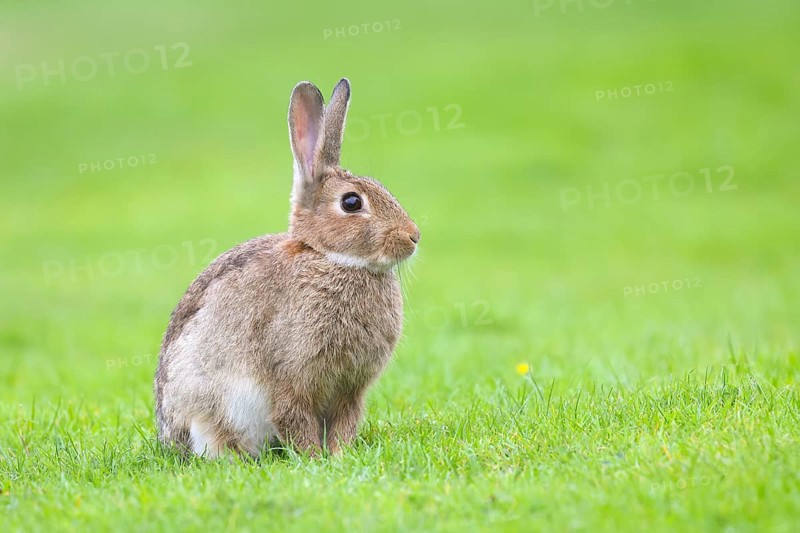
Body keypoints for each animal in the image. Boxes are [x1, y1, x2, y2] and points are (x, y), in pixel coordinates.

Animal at [154, 78, 420, 458]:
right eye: (352, 202)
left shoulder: (350, 389)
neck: (328, 257)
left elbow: (345, 421)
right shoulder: (289, 378)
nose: (414, 236)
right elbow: (294, 416)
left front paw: (338, 455)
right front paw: (315, 457)